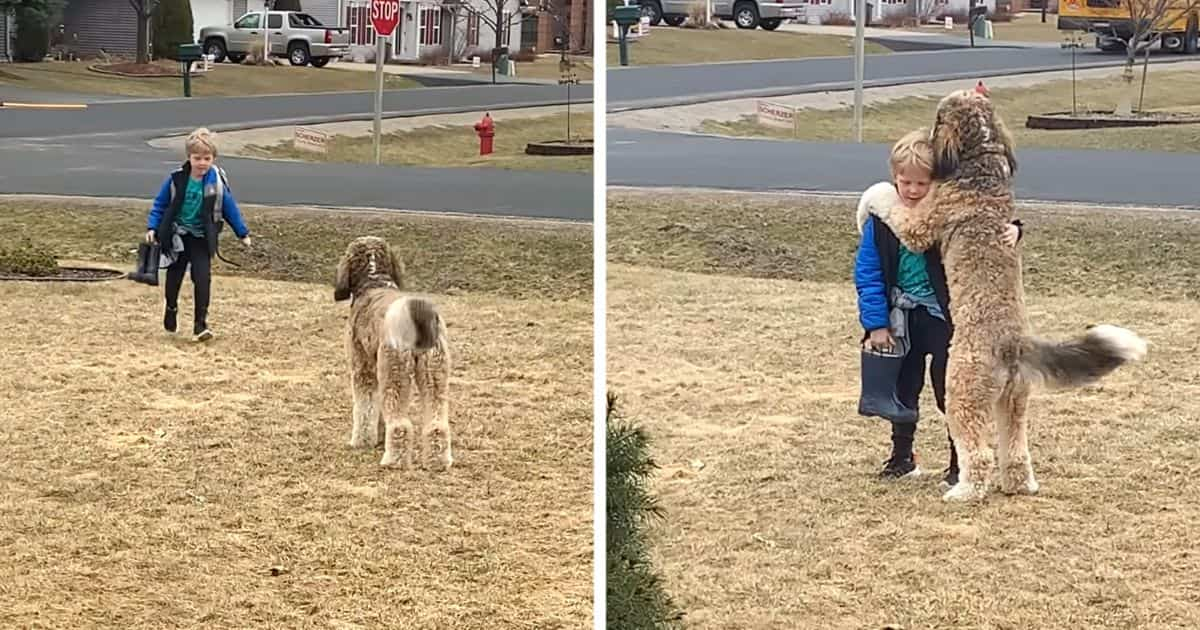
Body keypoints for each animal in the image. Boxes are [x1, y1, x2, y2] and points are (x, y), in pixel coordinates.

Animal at [333, 237, 453, 470]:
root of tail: (415, 312)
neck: (374, 281)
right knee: (437, 424)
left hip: (395, 372)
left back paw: (393, 460)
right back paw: (437, 461)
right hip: (434, 374)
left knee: (400, 424)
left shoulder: (363, 368)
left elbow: (365, 407)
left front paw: (361, 441)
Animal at [859, 87, 1147, 501]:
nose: (927, 134)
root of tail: (1014, 343)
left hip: (962, 391)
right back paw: (1020, 484)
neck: (983, 157)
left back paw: (963, 490)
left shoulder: (922, 223)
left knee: (977, 453)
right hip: (1014, 400)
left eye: (938, 118)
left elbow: (891, 203)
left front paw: (871, 198)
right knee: (1015, 450)